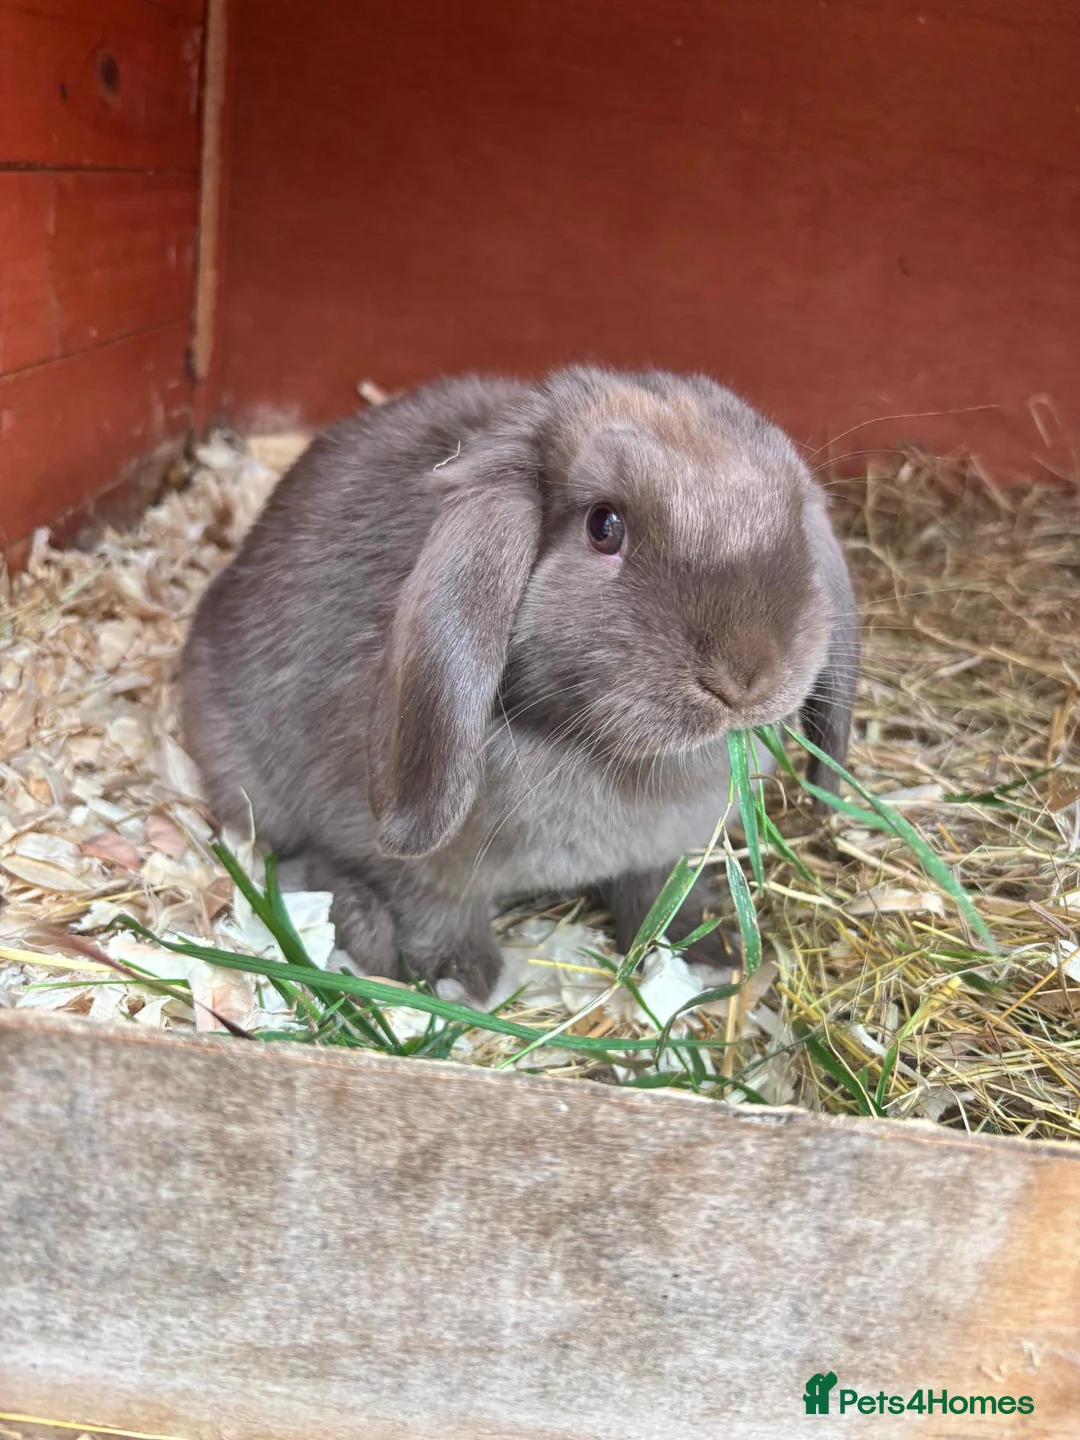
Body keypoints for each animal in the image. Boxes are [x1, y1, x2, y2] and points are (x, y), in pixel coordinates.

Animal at [180, 366, 858, 1002]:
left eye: (790, 519)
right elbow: (434, 911)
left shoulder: (664, 857)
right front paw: (461, 981)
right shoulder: (412, 866)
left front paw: (709, 953)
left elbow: (659, 895)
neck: (596, 751)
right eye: (604, 526)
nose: (746, 678)